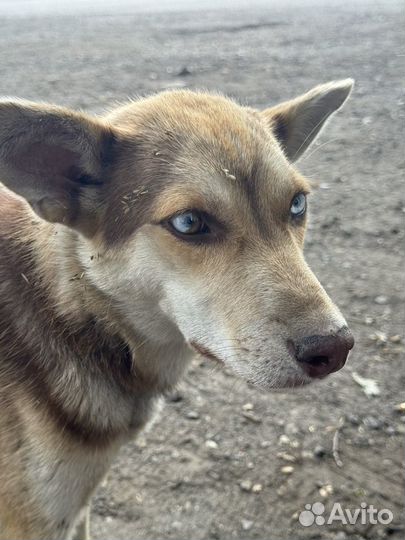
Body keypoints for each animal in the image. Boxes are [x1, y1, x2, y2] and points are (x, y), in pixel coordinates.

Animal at [0, 81, 354, 540]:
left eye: (297, 204)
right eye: (188, 223)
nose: (336, 348)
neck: (76, 316)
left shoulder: (75, 508)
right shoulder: (37, 521)